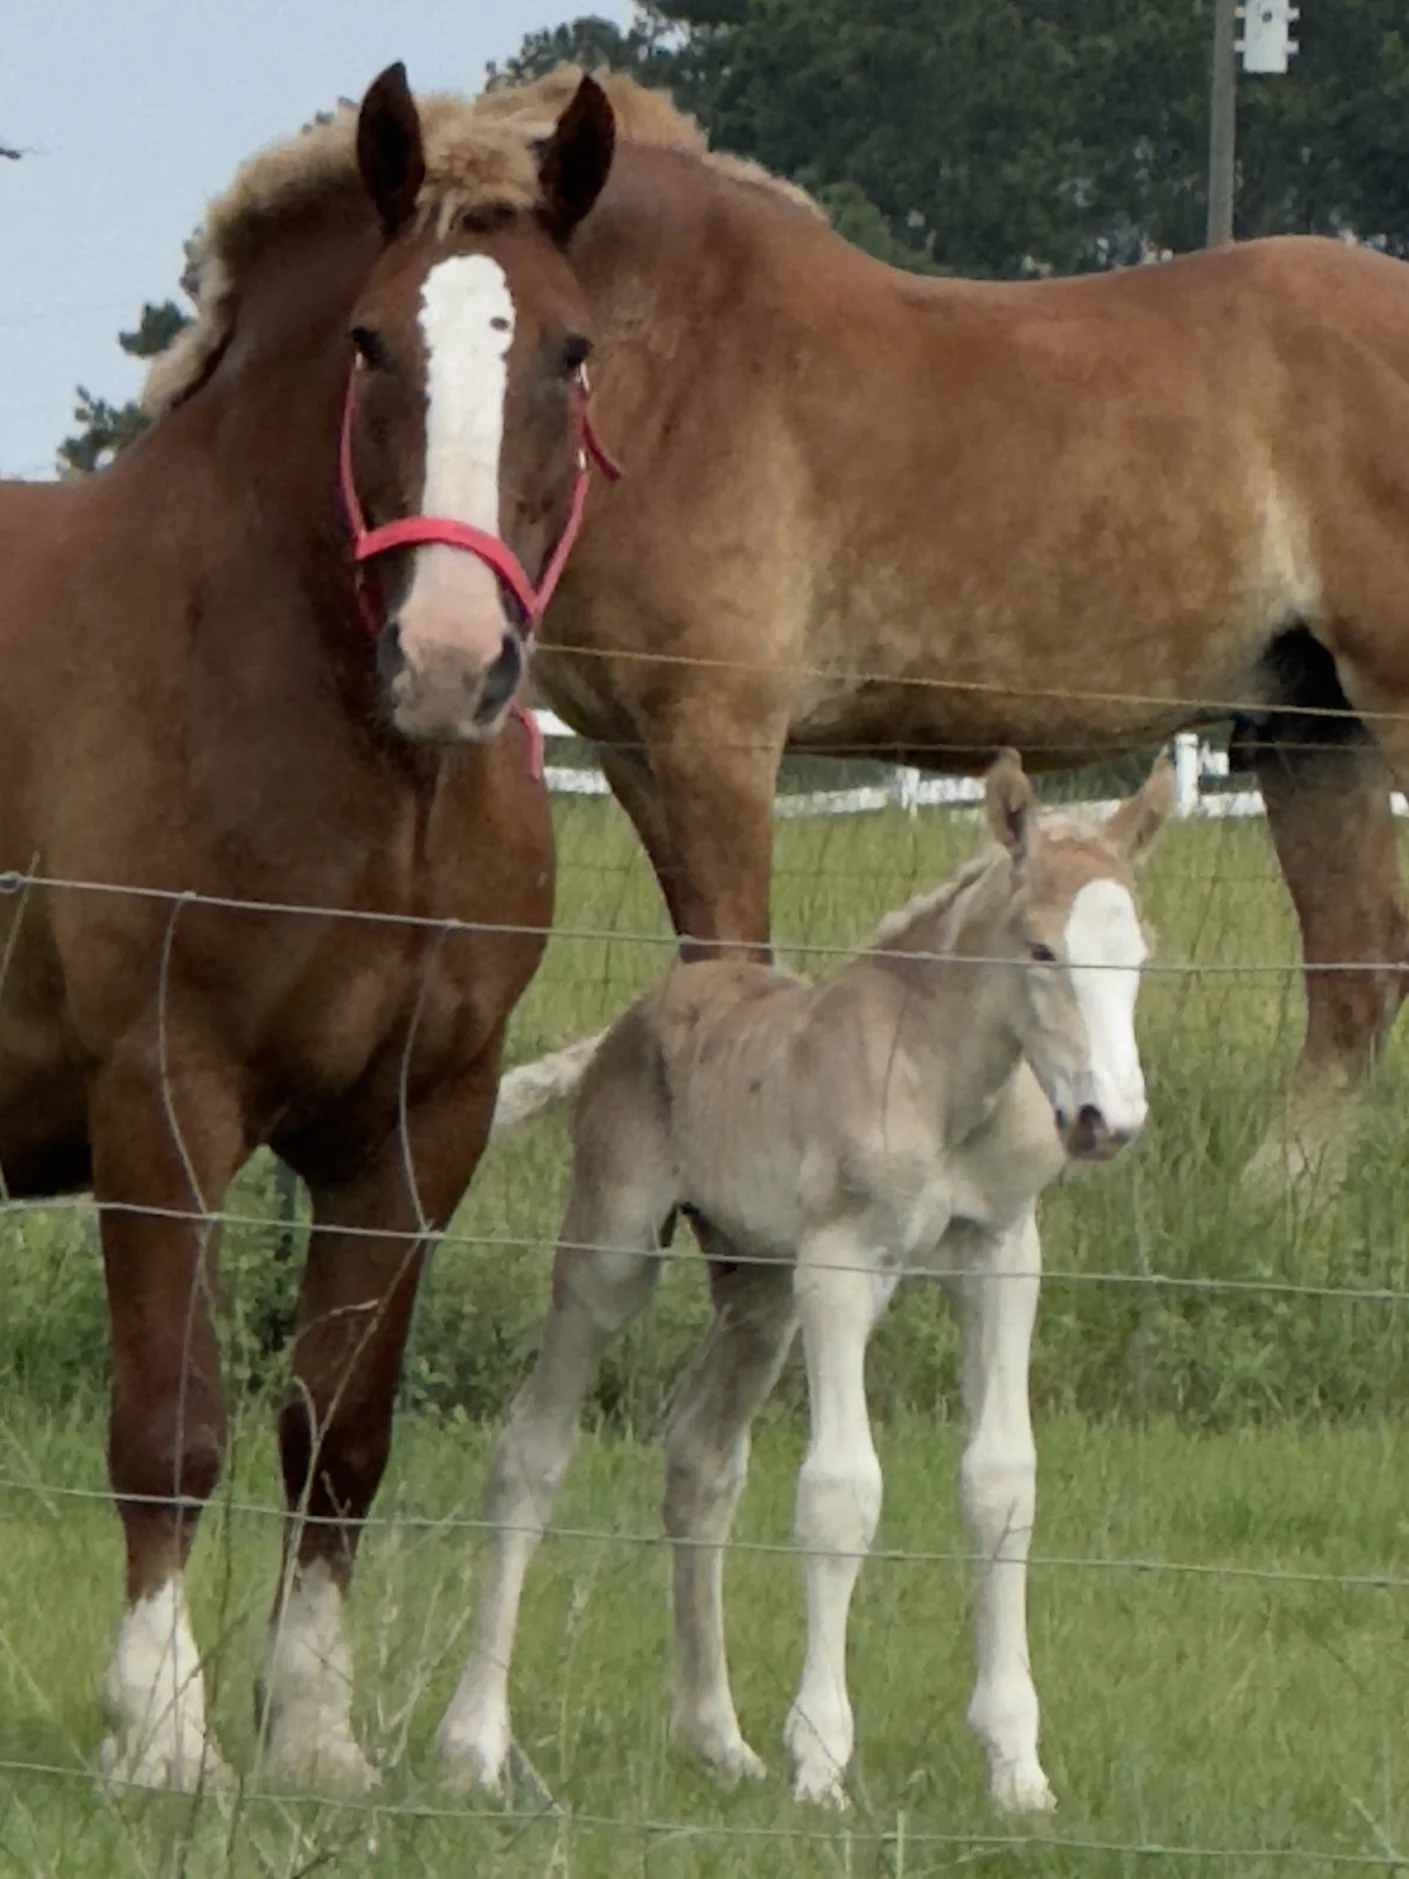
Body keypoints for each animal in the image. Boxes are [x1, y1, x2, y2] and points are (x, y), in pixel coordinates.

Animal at [0, 64, 620, 1789]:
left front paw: (316, 1731)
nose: (452, 658)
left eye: (569, 349)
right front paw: (162, 1730)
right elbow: (172, 1424)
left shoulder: (416, 1124)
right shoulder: (164, 1097)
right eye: (368, 343)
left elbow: (336, 1429)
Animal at [436, 65, 1409, 1189]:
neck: (681, 356)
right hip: (1310, 733)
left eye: (532, 332)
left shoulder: (714, 740)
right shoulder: (633, 750)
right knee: (1356, 968)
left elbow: (732, 952)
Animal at [439, 750, 1174, 1811]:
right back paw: (474, 1744)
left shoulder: (1002, 1253)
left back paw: (717, 1740)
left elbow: (1001, 1484)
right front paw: (822, 1760)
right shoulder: (841, 1262)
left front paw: (1017, 1770)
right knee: (529, 1453)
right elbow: (840, 1491)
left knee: (700, 1462)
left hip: (757, 1289)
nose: (1105, 1120)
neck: (947, 1081)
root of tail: (632, 1019)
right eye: (1040, 949)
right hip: (613, 1254)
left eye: (1138, 959)